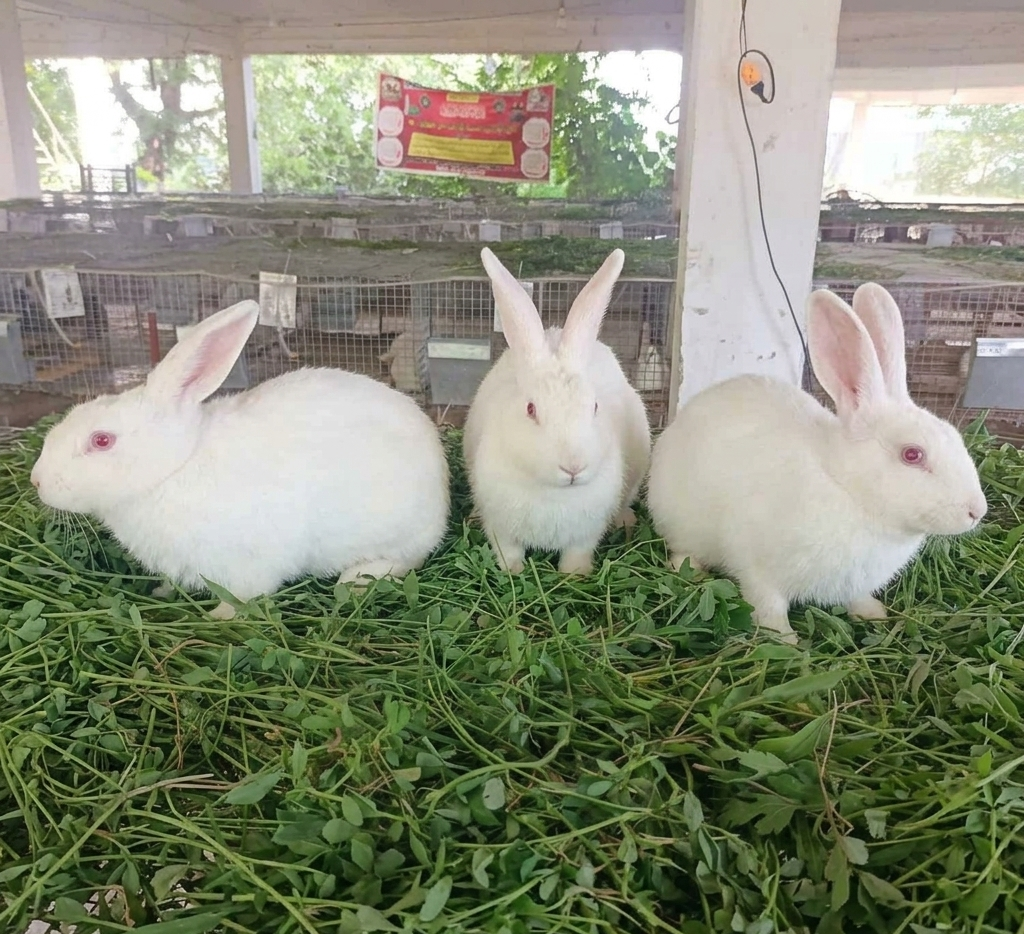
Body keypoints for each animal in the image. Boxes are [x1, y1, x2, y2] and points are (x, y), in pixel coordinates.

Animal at [30, 299, 450, 619]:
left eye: (101, 440)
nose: (37, 480)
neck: (175, 468)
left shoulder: (249, 565)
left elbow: (240, 597)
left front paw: (215, 618)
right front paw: (161, 592)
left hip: (398, 533)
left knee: (406, 560)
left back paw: (356, 579)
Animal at [463, 248, 651, 576]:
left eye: (594, 406)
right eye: (530, 409)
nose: (573, 467)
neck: (554, 492)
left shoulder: (587, 532)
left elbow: (577, 554)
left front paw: (575, 574)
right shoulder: (500, 526)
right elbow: (507, 551)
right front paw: (513, 572)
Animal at [647, 282, 987, 643]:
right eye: (912, 454)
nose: (976, 512)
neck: (847, 488)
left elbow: (857, 598)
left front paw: (873, 614)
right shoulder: (759, 569)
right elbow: (768, 604)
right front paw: (786, 640)